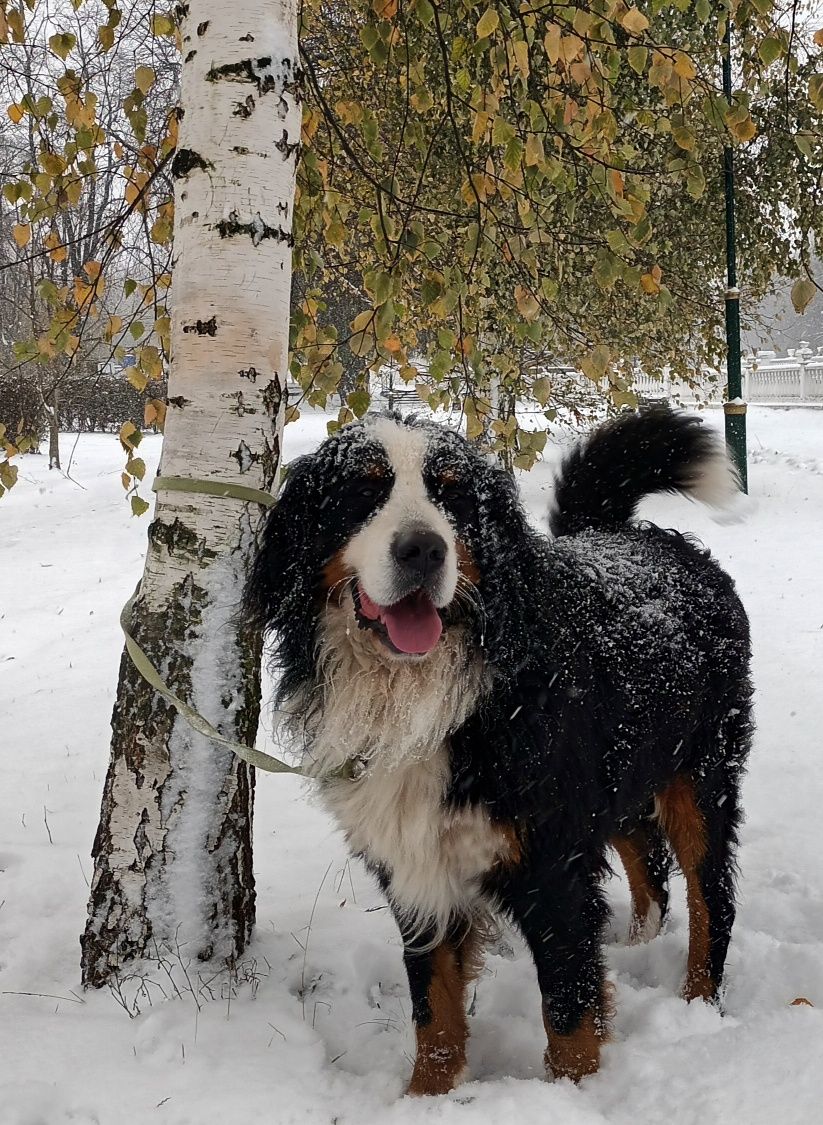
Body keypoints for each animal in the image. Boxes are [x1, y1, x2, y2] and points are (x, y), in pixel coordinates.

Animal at [243, 407, 751, 1098]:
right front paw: (427, 1098)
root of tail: (644, 540)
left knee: (710, 898)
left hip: (700, 779)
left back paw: (698, 1003)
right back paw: (638, 946)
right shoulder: (417, 868)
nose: (424, 549)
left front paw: (571, 1097)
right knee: (649, 862)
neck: (427, 698)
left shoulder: (553, 867)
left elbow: (568, 1011)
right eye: (363, 493)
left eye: (453, 496)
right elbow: (433, 1007)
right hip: (619, 777)